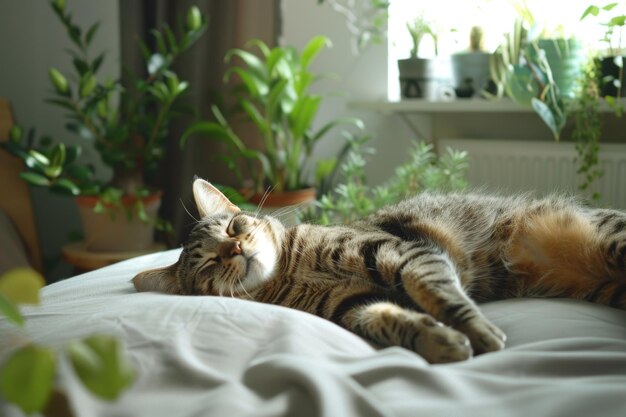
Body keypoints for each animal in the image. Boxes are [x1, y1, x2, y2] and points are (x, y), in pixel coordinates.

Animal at [134, 180, 624, 364]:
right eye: (210, 262)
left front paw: (479, 332)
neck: (288, 272)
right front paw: (441, 341)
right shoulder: (353, 306)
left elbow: (443, 295)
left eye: (234, 227)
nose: (235, 248)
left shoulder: (404, 254)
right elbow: (394, 321)